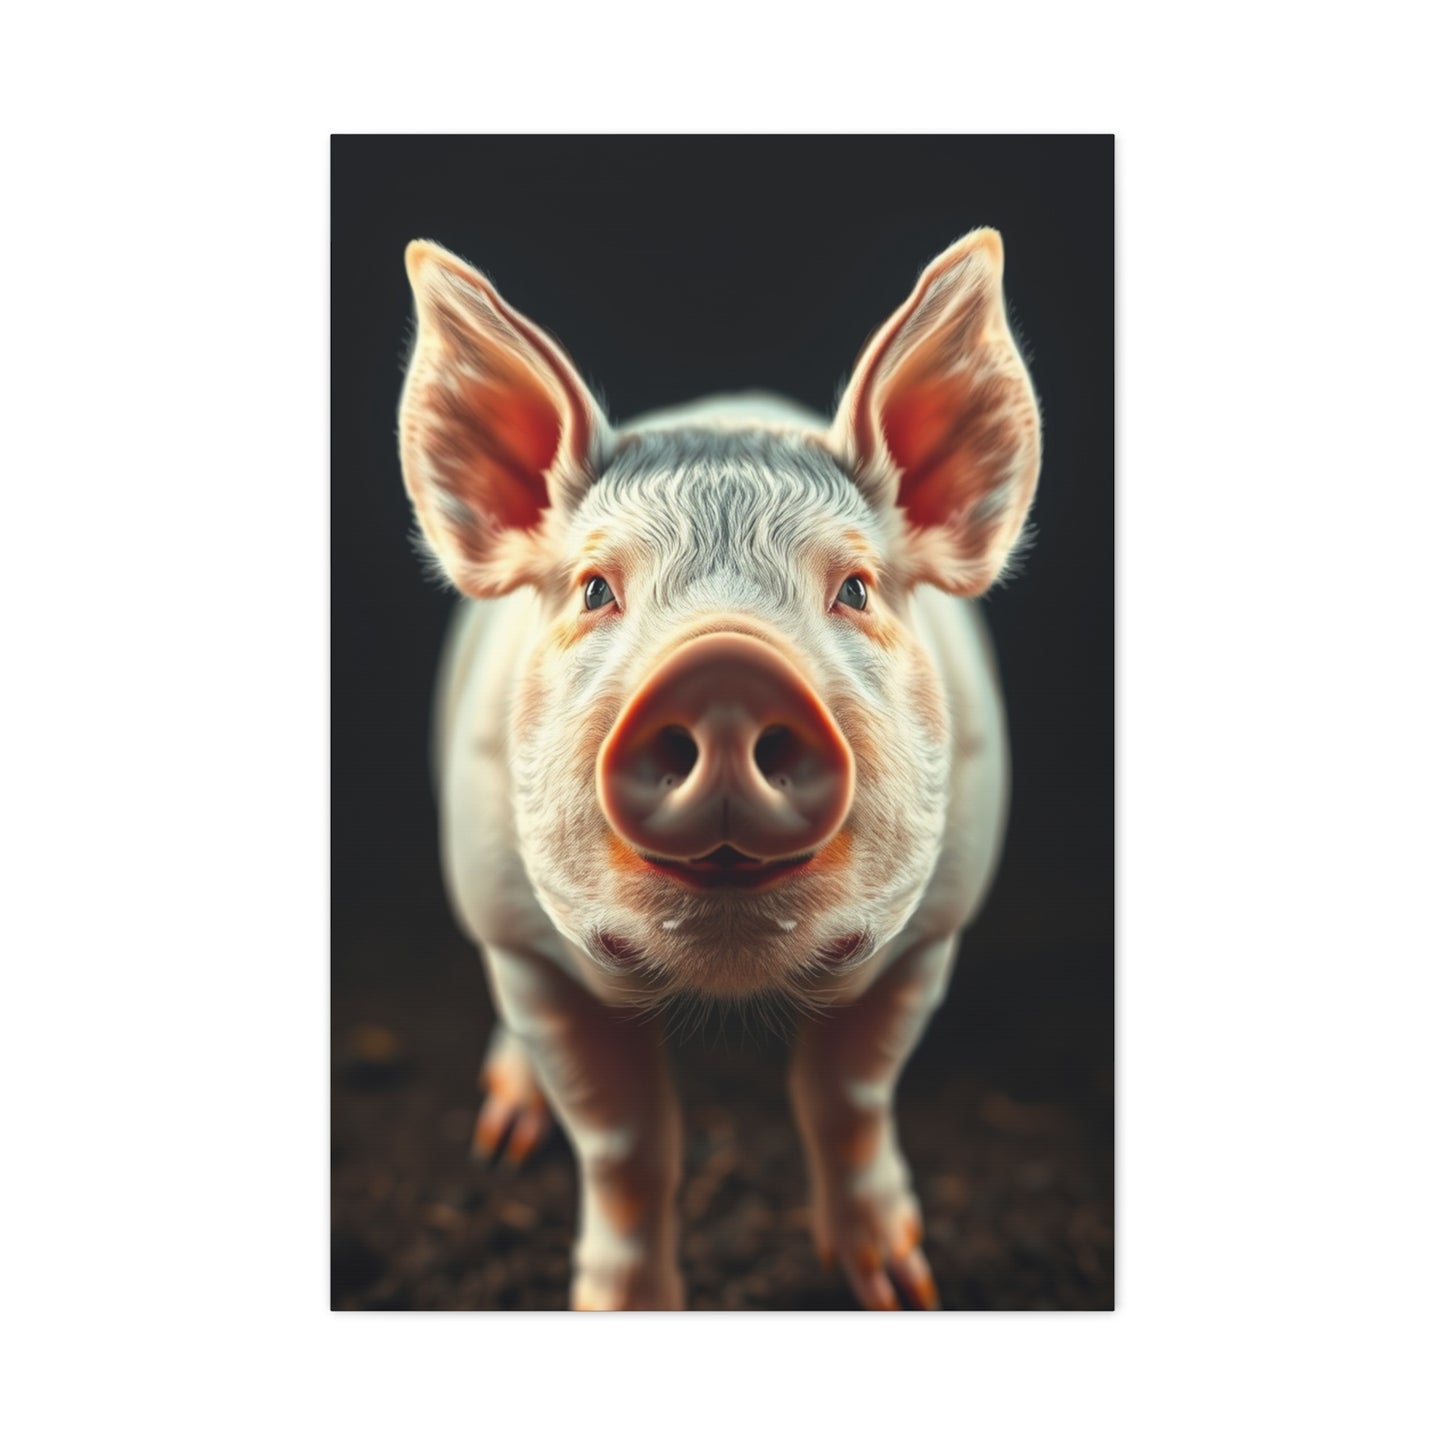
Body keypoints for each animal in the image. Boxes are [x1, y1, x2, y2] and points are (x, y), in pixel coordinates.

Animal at [397, 227, 1041, 1310]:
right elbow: (624, 1144)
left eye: (855, 587)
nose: (726, 670)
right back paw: (504, 1130)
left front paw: (900, 1286)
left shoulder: (929, 930)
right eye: (596, 588)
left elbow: (847, 1093)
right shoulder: (526, 946)